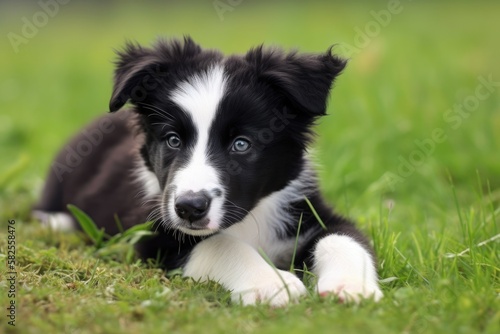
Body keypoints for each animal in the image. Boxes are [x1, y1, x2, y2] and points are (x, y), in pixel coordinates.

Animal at [34, 36, 382, 306]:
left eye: (241, 144)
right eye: (173, 140)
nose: (189, 208)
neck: (248, 221)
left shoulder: (310, 209)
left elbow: (342, 237)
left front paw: (351, 287)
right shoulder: (151, 233)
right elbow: (220, 244)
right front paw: (272, 283)